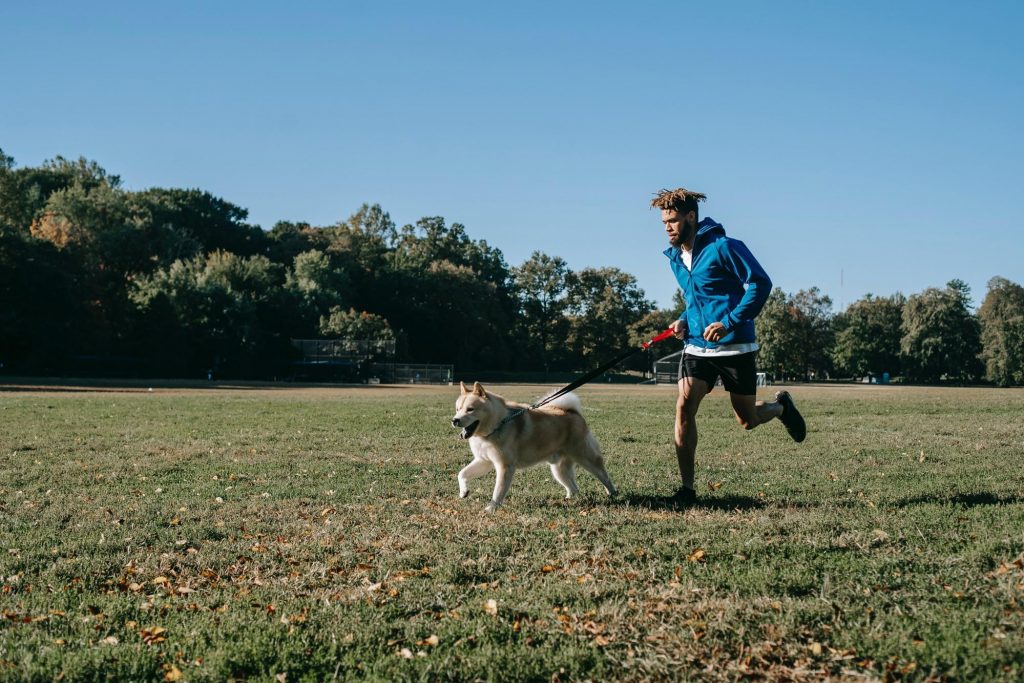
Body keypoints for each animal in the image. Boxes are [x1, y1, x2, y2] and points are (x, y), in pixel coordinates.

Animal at [450, 382, 614, 509]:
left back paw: (612, 493)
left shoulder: (505, 466)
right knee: (574, 488)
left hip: (585, 457)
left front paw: (491, 509)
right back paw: (568, 500)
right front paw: (463, 492)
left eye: (470, 409)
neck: (498, 424)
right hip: (559, 469)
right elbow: (461, 474)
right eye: (458, 409)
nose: (454, 420)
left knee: (603, 475)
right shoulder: (484, 461)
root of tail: (574, 413)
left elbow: (498, 491)